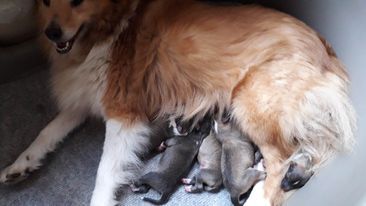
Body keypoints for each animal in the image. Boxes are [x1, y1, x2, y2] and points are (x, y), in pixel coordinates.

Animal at [0, 0, 356, 206]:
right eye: (47, 0)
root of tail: (330, 58)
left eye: (77, 1)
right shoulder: (85, 100)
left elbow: (105, 171)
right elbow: (46, 133)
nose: (52, 33)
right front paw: (19, 165)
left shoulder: (123, 114)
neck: (110, 30)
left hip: (252, 104)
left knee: (280, 167)